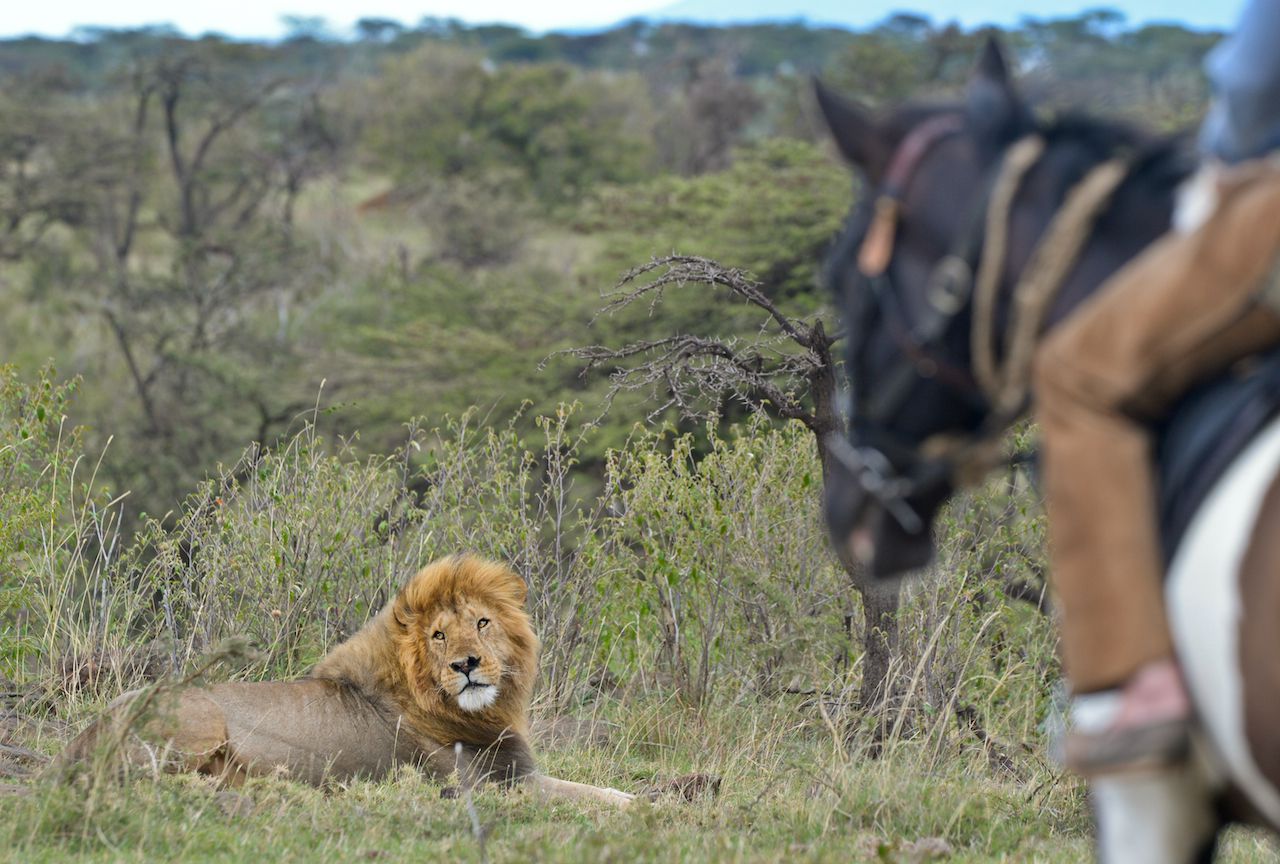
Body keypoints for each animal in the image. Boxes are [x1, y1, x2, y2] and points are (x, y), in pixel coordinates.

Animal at [55, 558, 634, 808]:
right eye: (439, 635)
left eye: (483, 623)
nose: (466, 664)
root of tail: (80, 739)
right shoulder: (490, 785)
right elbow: (596, 794)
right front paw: (649, 806)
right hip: (199, 720)